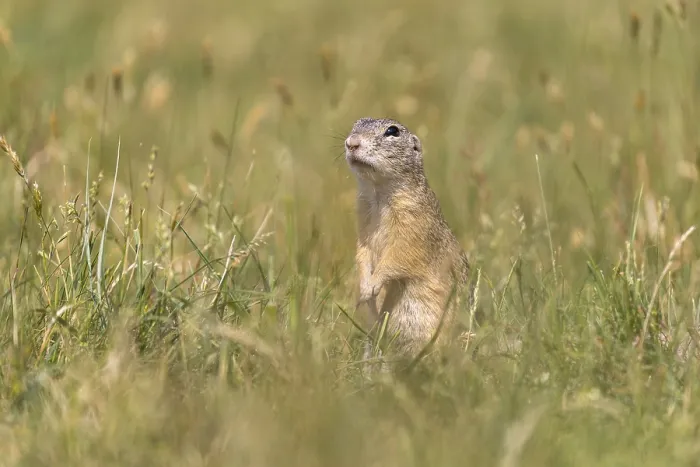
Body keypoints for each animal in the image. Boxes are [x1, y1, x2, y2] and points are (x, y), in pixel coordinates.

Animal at [344, 117, 472, 363]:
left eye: (392, 131)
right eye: (356, 124)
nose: (351, 143)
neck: (378, 193)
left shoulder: (414, 226)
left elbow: (398, 256)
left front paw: (371, 286)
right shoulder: (363, 225)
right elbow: (362, 253)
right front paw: (364, 287)